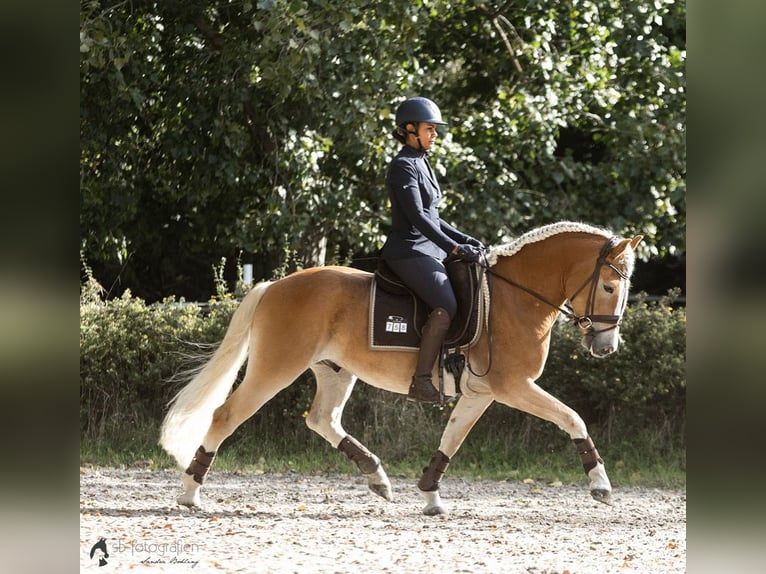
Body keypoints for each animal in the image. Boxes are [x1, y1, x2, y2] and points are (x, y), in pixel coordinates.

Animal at [160, 221, 643, 515]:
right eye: (608, 286)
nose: (606, 347)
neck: (515, 297)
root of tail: (275, 284)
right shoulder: (513, 386)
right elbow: (572, 418)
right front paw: (601, 485)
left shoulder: (482, 392)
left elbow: (451, 439)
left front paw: (430, 495)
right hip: (276, 368)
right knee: (225, 415)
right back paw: (190, 493)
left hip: (335, 371)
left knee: (321, 419)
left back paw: (377, 477)